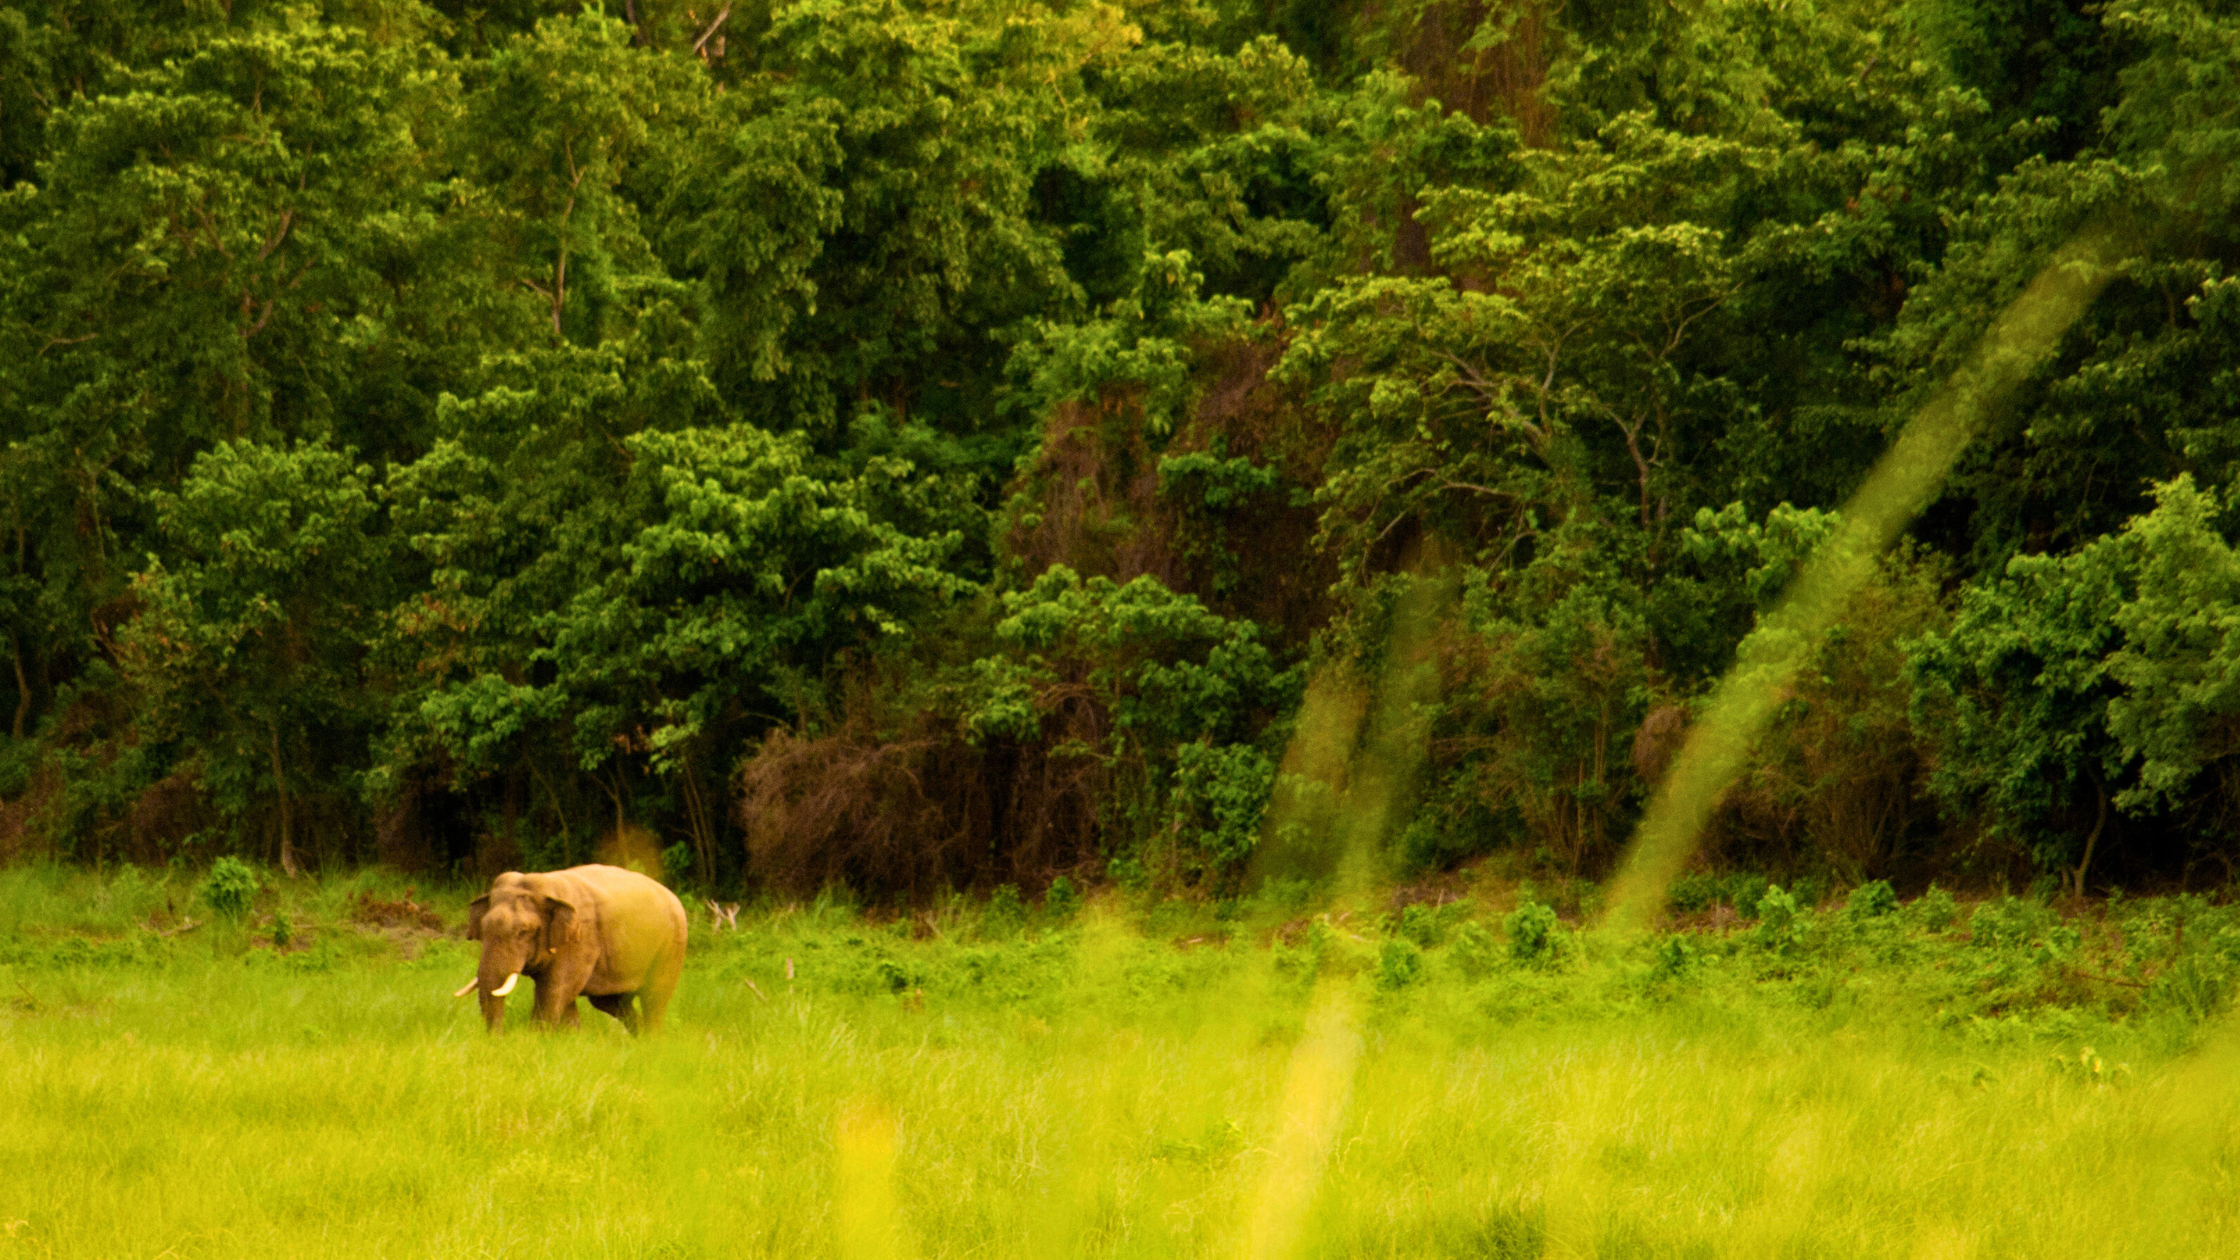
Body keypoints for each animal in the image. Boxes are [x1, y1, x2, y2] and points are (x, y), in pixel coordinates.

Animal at [452, 865, 687, 1034]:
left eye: (523, 932)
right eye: (483, 929)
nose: (498, 1040)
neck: (548, 886)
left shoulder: (581, 940)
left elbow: (555, 990)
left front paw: (536, 1039)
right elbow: (565, 996)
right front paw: (569, 1039)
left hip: (672, 945)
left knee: (654, 998)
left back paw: (651, 1044)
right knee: (611, 1002)